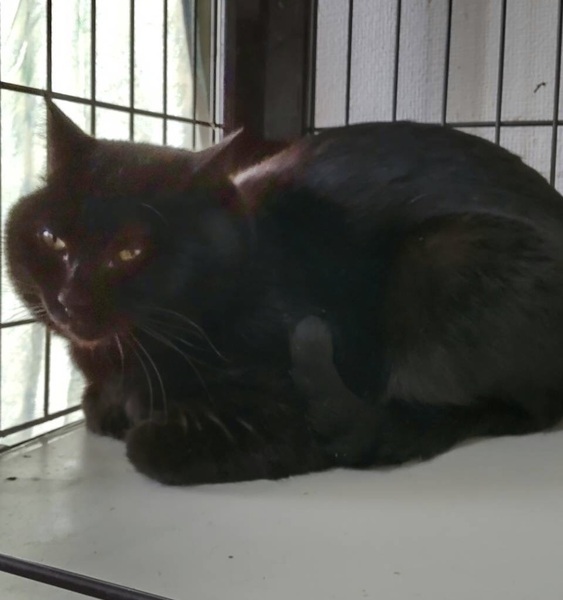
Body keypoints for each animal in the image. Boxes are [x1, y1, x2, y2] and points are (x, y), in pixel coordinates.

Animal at [6, 99, 563, 485]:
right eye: (52, 239)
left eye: (130, 251)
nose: (69, 298)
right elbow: (96, 407)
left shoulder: (290, 406)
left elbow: (151, 445)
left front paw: (144, 420)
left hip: (445, 254)